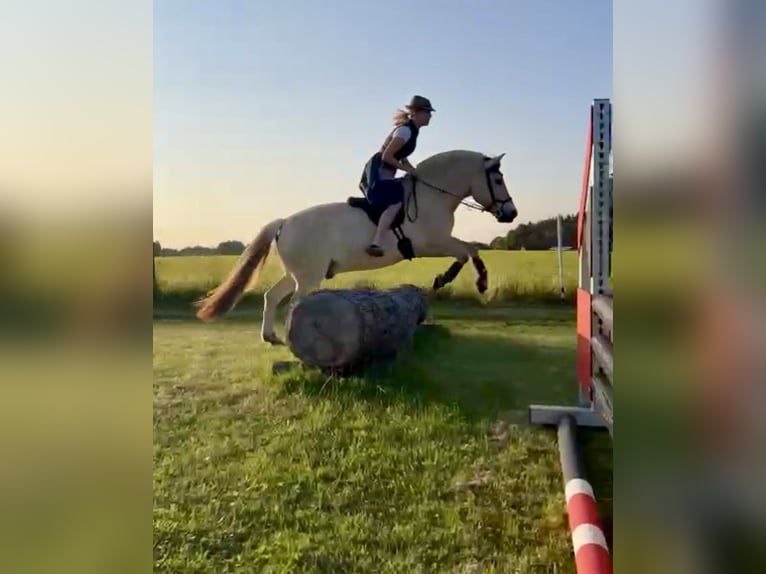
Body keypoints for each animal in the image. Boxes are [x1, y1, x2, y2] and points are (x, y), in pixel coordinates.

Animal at [194, 149, 518, 344]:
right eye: (498, 179)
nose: (511, 213)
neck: (432, 196)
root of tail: (284, 222)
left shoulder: (440, 243)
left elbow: (471, 250)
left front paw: (474, 281)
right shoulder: (433, 244)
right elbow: (467, 251)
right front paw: (457, 280)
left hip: (296, 273)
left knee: (272, 297)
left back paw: (270, 337)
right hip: (308, 276)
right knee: (295, 303)